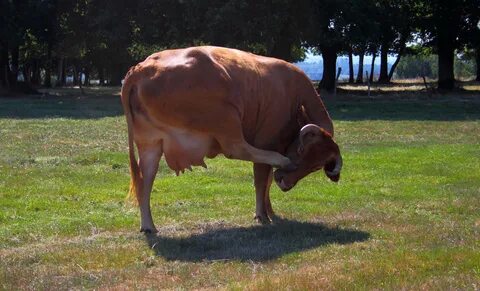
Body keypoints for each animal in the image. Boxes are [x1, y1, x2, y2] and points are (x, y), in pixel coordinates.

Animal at [122, 47, 344, 235]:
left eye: (317, 166)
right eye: (302, 152)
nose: (286, 183)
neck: (295, 99)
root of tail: (141, 69)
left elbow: (267, 180)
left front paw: (270, 212)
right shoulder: (266, 141)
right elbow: (261, 179)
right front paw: (262, 214)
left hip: (151, 144)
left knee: (144, 180)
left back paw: (148, 225)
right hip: (227, 118)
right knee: (237, 148)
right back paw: (282, 161)